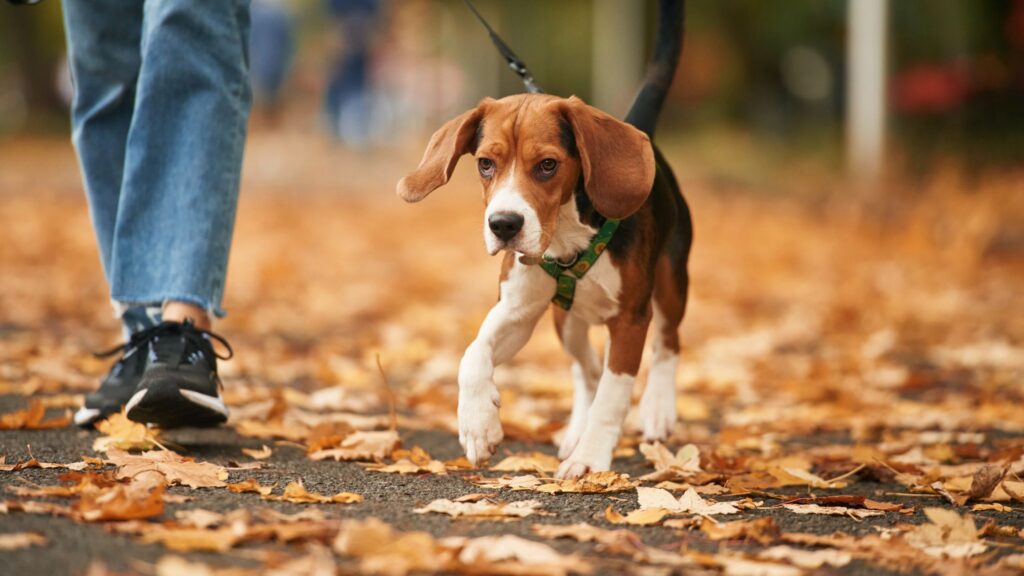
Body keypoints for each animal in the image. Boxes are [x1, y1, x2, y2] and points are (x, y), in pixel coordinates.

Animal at [395, 0, 692, 475]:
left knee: (666, 344)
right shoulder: (517, 309)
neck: (568, 237)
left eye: (548, 165)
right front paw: (478, 424)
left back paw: (657, 410)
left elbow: (613, 395)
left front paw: (590, 458)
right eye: (485, 164)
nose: (503, 225)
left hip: (670, 281)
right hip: (565, 321)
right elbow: (472, 354)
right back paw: (574, 431)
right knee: (586, 370)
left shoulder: (631, 320)